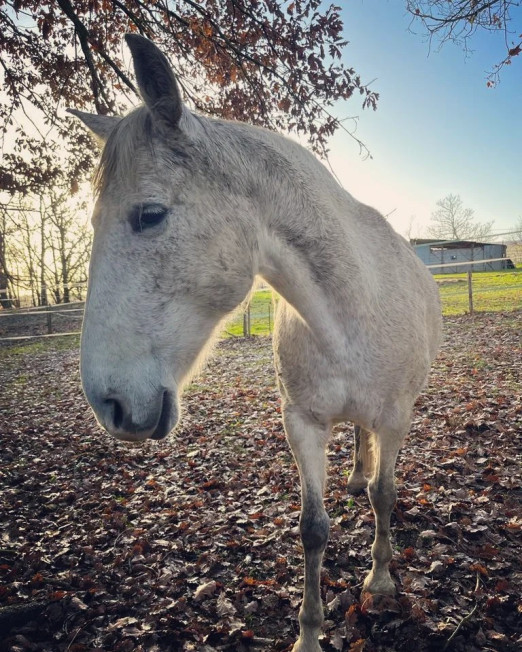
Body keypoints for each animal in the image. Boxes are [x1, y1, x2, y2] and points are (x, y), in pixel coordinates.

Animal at [71, 34, 442, 652]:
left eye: (150, 214)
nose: (110, 405)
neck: (350, 311)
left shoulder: (395, 418)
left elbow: (385, 496)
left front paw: (381, 581)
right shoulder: (303, 422)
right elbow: (312, 528)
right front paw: (309, 633)